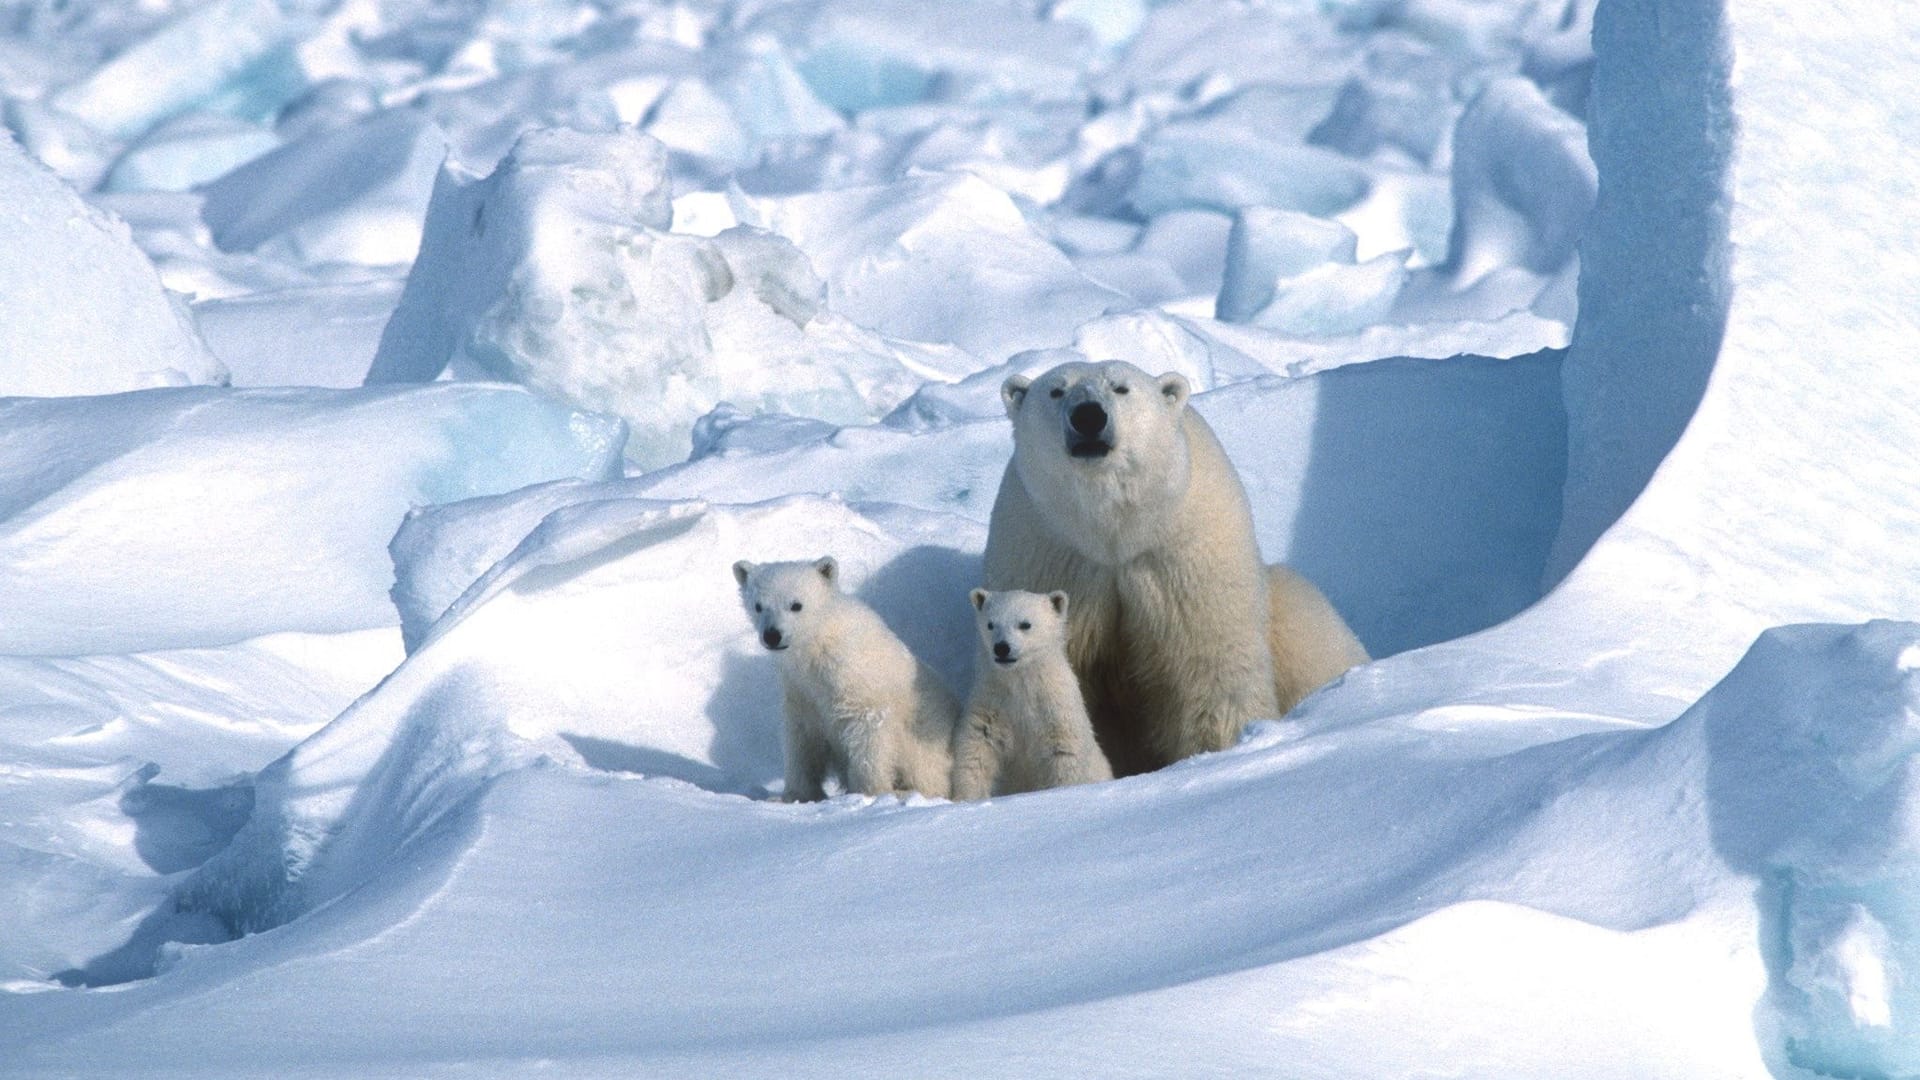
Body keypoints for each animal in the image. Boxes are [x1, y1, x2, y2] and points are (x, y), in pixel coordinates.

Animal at [733, 553, 960, 799]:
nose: (772, 635)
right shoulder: (800, 688)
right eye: (758, 606)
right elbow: (803, 739)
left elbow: (869, 732)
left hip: (924, 744)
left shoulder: (855, 680)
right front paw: (795, 795)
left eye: (796, 605)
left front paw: (869, 792)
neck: (817, 644)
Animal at [952, 584, 1121, 795]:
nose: (1001, 648)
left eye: (1025, 624)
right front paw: (969, 796)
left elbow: (1064, 753)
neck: (1021, 682)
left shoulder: (1055, 710)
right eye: (991, 624)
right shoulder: (992, 704)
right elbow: (977, 747)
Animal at [990, 355, 1367, 772]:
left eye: (1121, 387)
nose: (1088, 416)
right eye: (1057, 390)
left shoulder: (1182, 556)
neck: (1113, 532)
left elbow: (1208, 666)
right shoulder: (1052, 554)